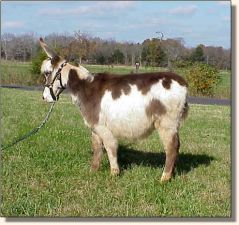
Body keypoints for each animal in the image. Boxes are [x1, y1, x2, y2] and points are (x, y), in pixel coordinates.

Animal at [39, 37, 189, 183]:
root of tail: (182, 82)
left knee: (171, 148)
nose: (44, 97)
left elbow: (110, 147)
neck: (85, 86)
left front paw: (114, 174)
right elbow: (97, 148)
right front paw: (93, 171)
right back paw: (171, 174)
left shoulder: (102, 128)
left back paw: (164, 178)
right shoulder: (95, 128)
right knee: (176, 147)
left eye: (47, 73)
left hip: (166, 123)